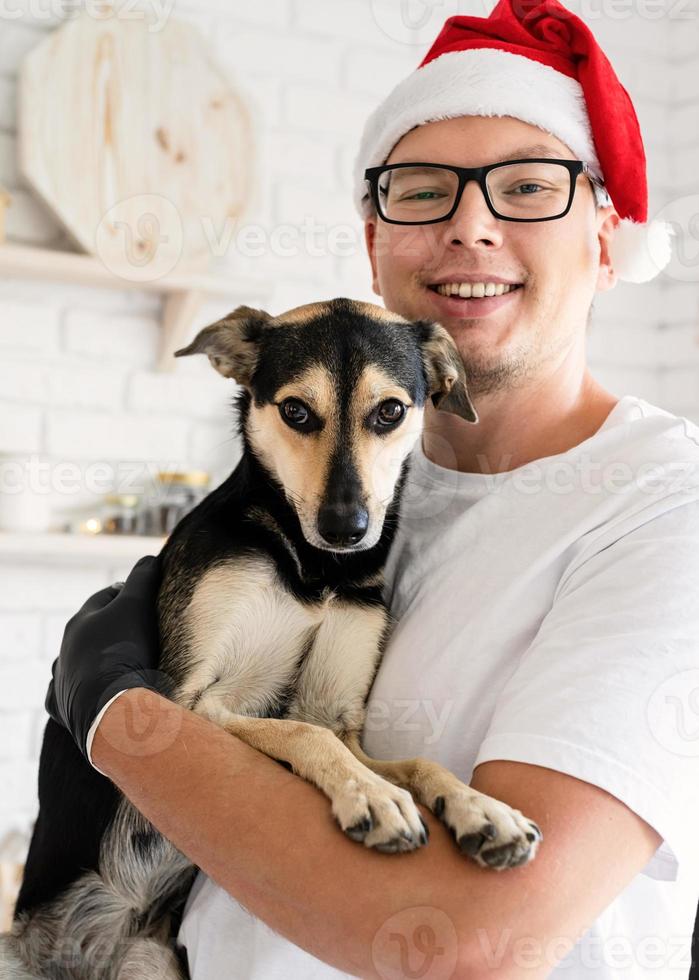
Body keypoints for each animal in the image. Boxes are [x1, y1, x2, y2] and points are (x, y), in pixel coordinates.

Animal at [1, 298, 540, 980]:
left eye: (390, 411)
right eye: (296, 411)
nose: (346, 528)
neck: (314, 571)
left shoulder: (340, 720)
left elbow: (416, 763)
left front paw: (481, 809)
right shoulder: (194, 702)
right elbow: (303, 735)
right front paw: (373, 796)